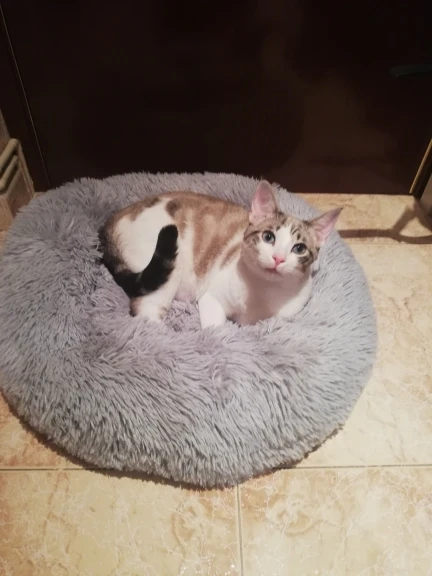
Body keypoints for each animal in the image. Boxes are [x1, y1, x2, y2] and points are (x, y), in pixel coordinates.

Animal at [99, 180, 341, 328]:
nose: (278, 258)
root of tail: (113, 218)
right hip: (170, 261)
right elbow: (217, 329)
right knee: (145, 312)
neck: (263, 293)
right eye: (268, 237)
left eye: (299, 248)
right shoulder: (211, 297)